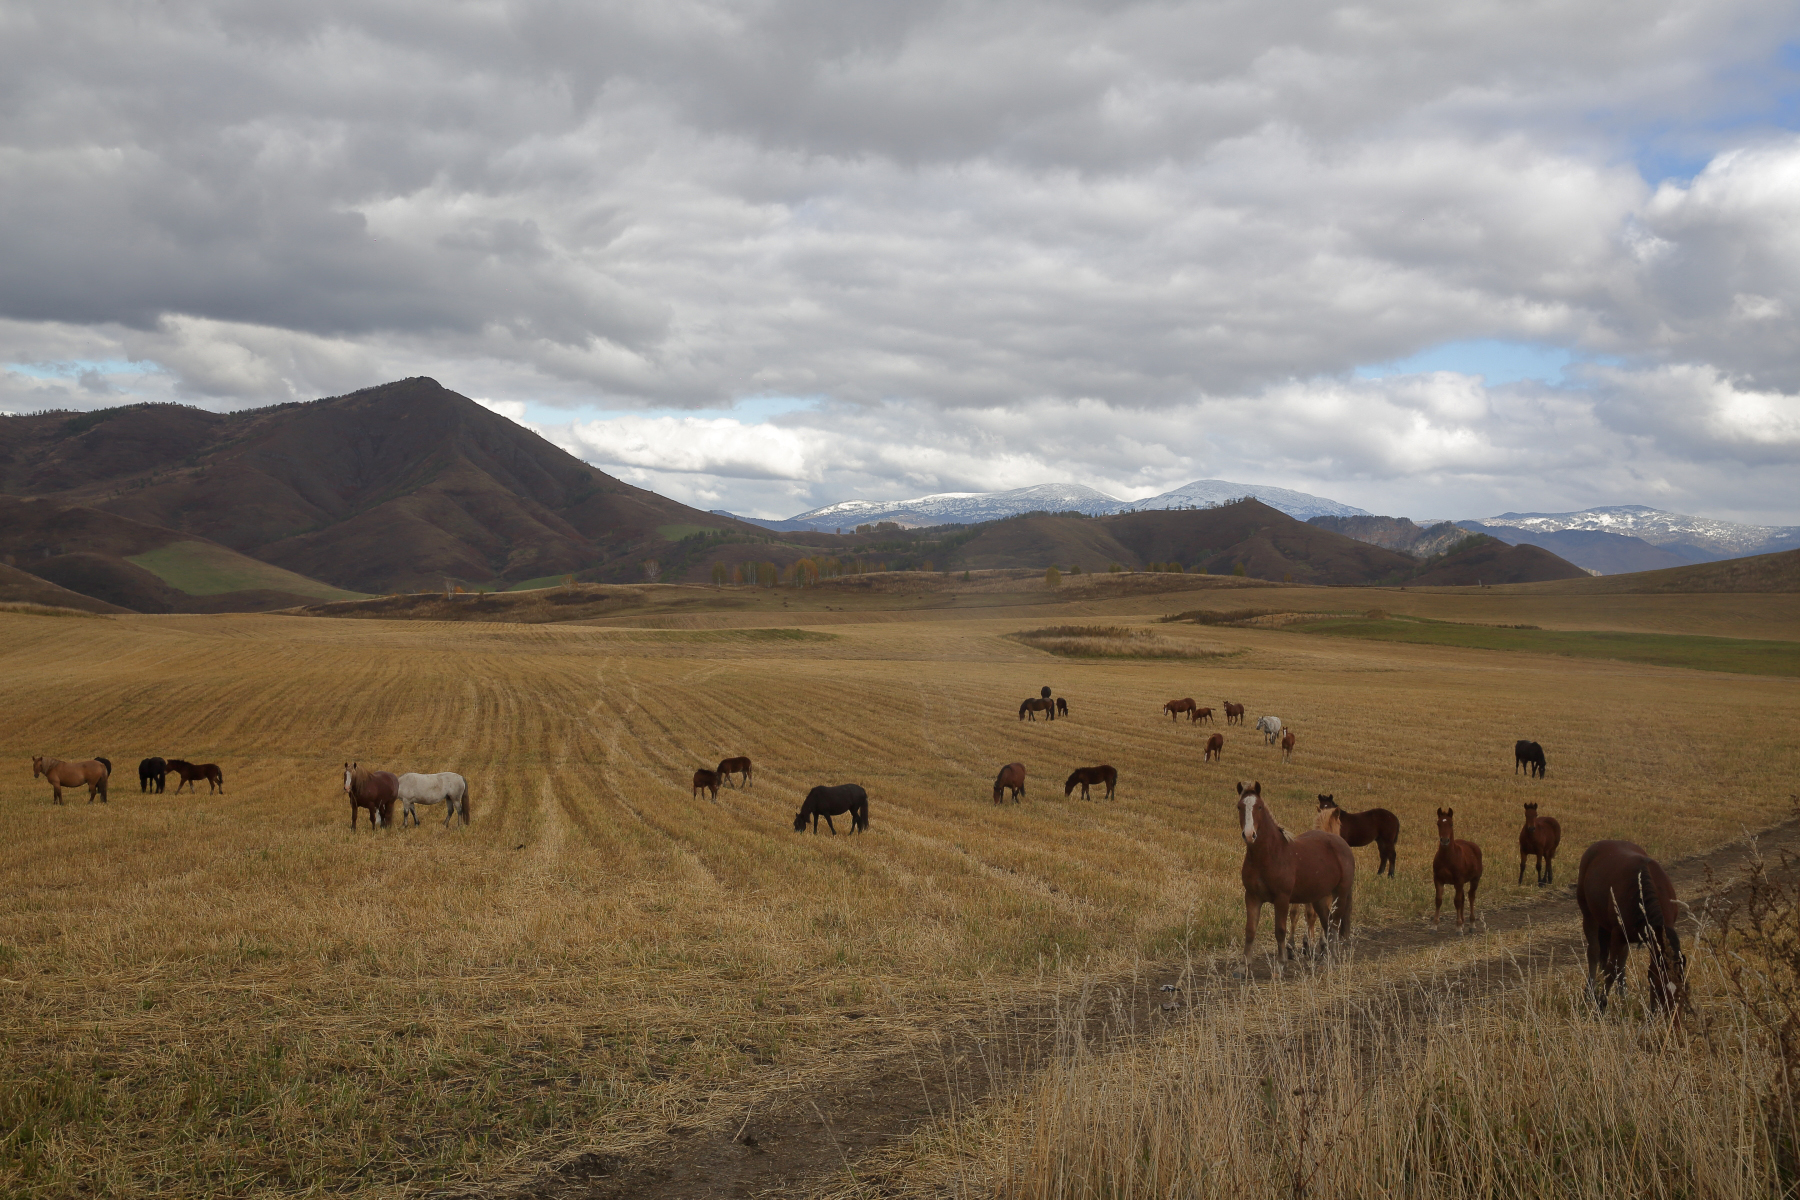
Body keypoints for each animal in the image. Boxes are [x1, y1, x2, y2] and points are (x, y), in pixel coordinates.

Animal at [1238, 784, 1353, 971]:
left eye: (1259, 807)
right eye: (1239, 807)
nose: (1249, 835)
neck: (1268, 856)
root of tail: (1342, 844)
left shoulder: (1282, 898)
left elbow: (1280, 930)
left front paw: (1281, 964)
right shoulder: (1252, 896)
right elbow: (1250, 930)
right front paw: (1242, 967)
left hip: (1339, 894)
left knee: (1335, 922)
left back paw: (1332, 958)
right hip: (1319, 898)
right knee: (1326, 922)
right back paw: (1325, 958)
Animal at [1576, 841, 1684, 1021]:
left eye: (1682, 986)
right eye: (1660, 988)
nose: (1671, 1015)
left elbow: (1636, 968)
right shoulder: (1617, 934)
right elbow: (1611, 970)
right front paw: (1601, 1005)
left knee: (1620, 960)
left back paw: (1623, 995)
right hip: (1589, 915)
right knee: (1594, 952)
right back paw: (1590, 992)